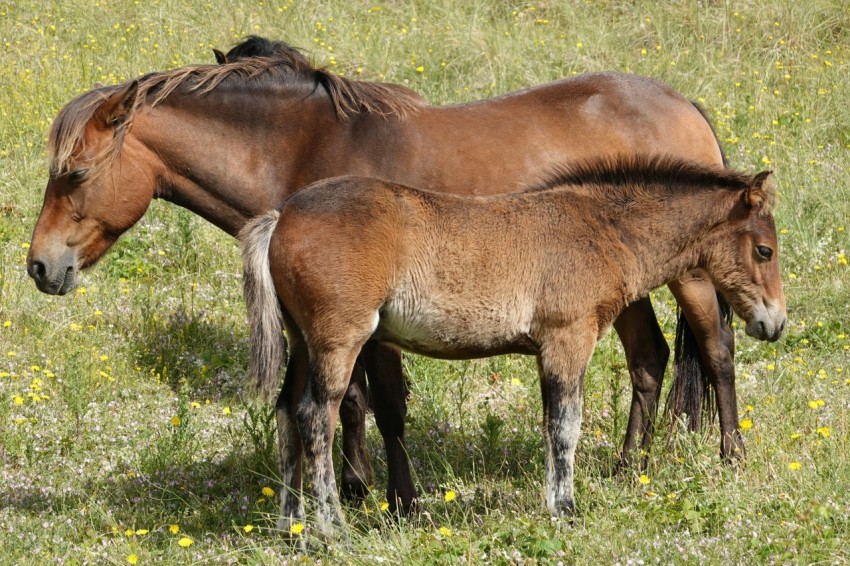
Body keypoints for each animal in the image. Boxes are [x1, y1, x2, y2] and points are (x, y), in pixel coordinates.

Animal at [29, 36, 736, 516]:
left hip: (693, 277)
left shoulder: (377, 322)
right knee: (651, 359)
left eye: (76, 174)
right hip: (625, 287)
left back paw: (729, 457)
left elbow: (384, 405)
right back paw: (628, 467)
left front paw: (394, 497)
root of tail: (685, 105)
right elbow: (350, 403)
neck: (304, 148)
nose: (41, 266)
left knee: (717, 350)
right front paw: (354, 487)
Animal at [240, 156, 786, 538]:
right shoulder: (567, 338)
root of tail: (280, 218)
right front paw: (564, 509)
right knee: (316, 416)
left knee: (287, 411)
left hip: (301, 341)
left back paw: (291, 525)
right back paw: (332, 527)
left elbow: (555, 424)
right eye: (765, 250)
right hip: (338, 341)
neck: (600, 228)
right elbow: (565, 426)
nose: (775, 323)